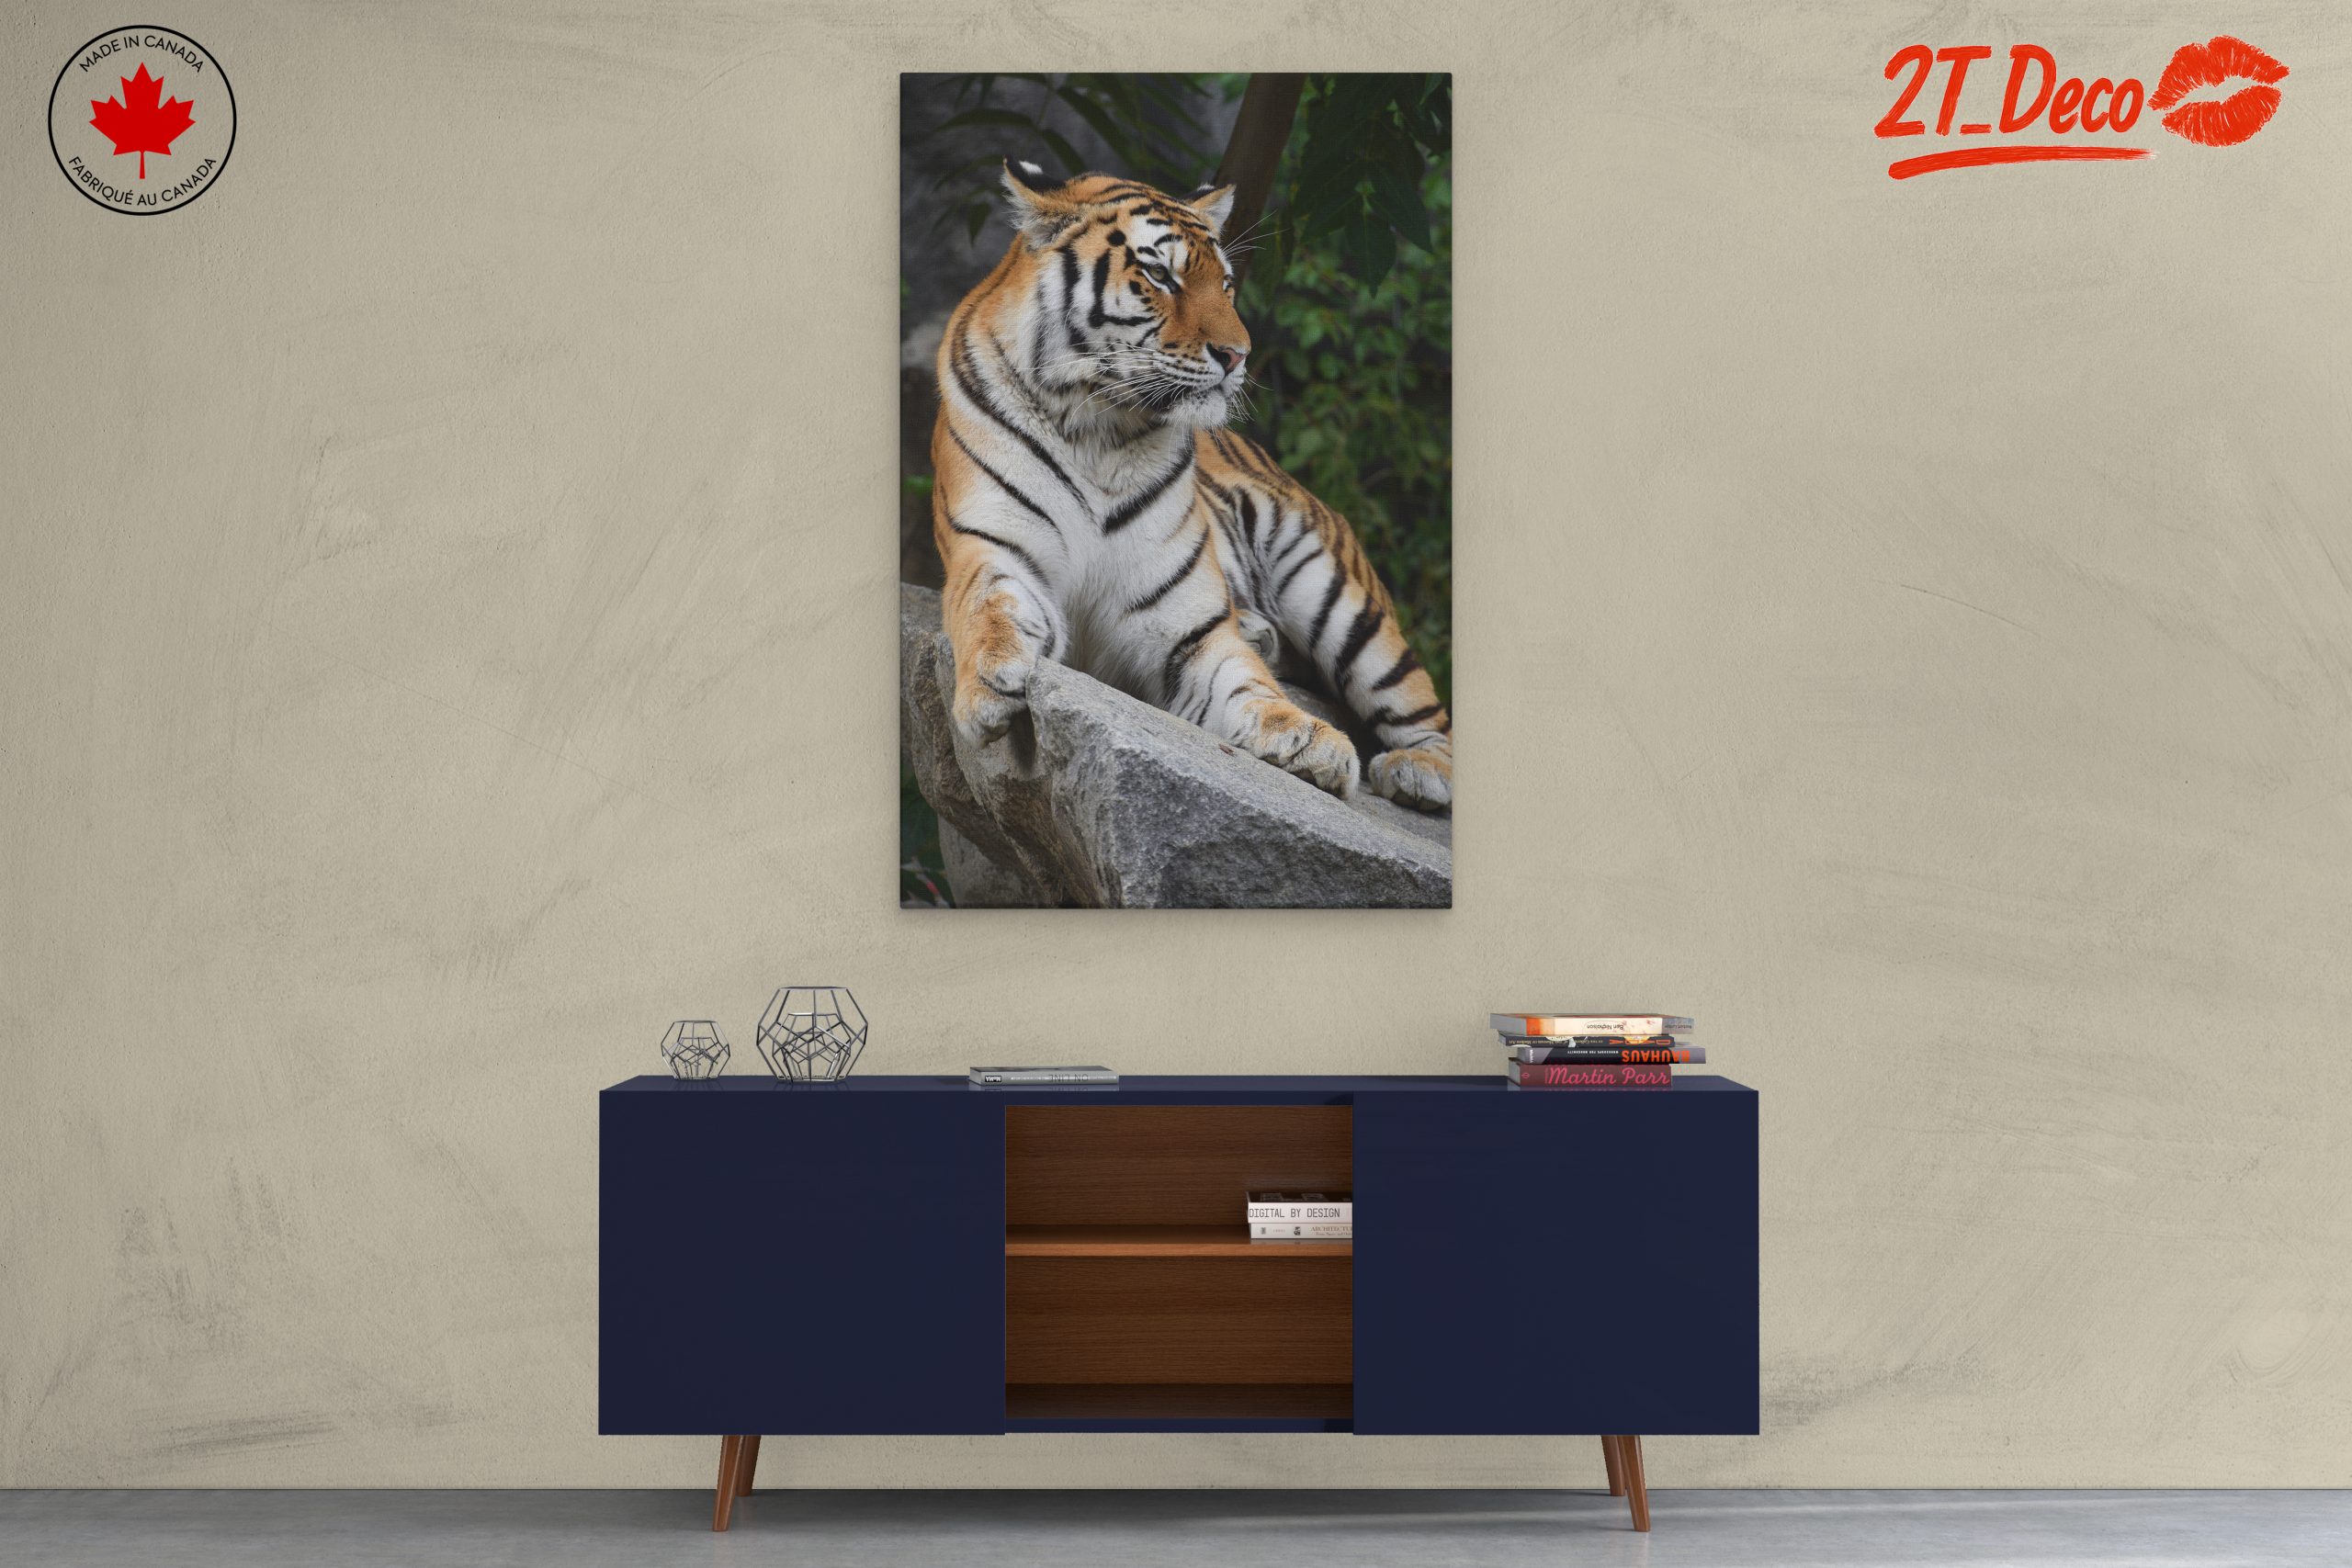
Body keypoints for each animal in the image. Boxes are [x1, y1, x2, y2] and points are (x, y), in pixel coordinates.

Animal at [929, 159, 1452, 812]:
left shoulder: (1186, 628)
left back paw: (1418, 770)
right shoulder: (994, 548)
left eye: (1225, 284)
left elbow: (1245, 684)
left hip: (1339, 594)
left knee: (1423, 708)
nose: (1239, 355)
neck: (1097, 428)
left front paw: (1311, 741)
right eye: (1159, 274)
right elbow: (990, 608)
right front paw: (992, 682)